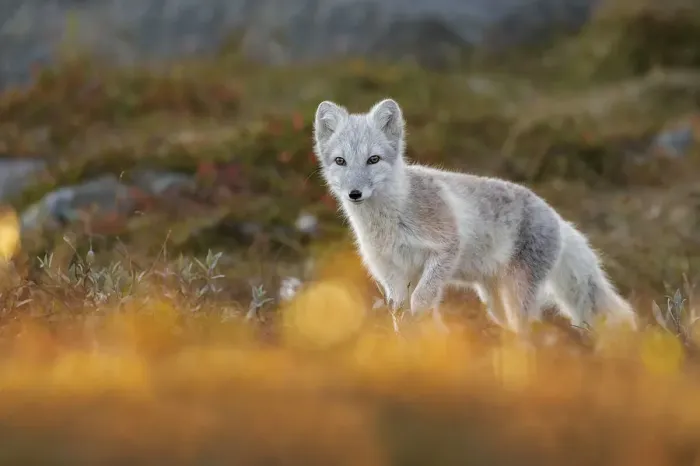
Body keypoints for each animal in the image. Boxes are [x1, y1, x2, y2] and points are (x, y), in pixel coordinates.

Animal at [311, 97, 638, 334]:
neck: (388, 222)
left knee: (529, 330)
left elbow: (421, 300)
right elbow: (399, 313)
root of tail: (555, 215)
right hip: (493, 299)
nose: (354, 194)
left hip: (518, 292)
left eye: (373, 159)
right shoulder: (392, 273)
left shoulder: (445, 248)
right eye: (340, 161)